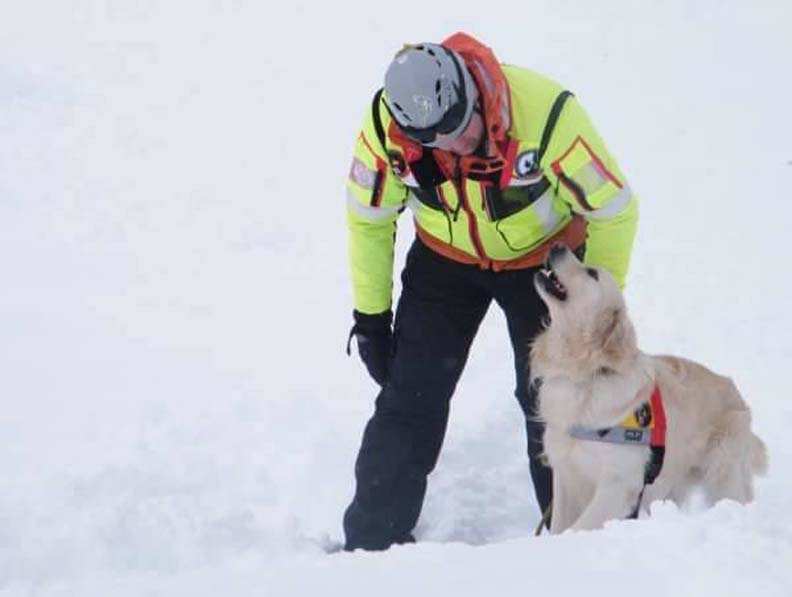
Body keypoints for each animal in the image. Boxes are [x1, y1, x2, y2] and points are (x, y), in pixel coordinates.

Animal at [528, 244, 764, 532]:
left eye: (592, 273)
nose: (557, 246)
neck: (587, 374)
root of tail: (736, 393)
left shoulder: (619, 485)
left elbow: (578, 527)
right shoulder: (566, 476)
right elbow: (560, 527)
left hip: (723, 474)